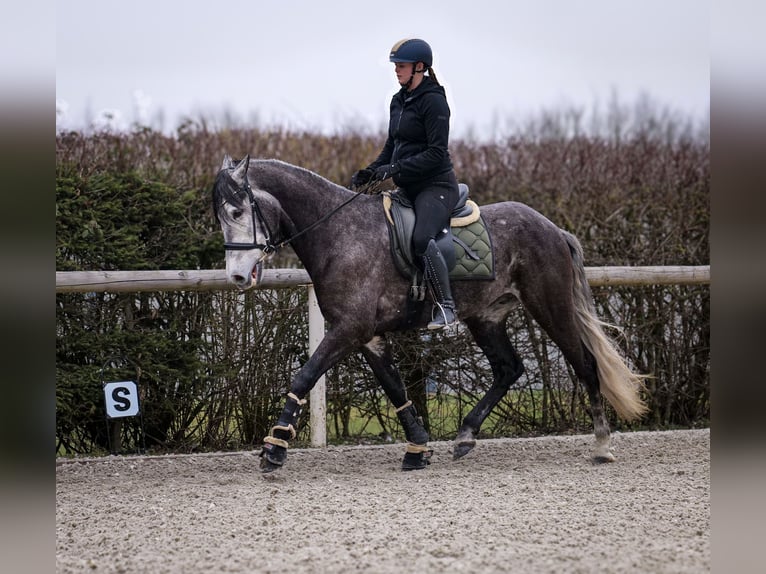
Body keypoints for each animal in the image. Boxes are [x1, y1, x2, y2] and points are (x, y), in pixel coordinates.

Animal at [214, 155, 648, 474]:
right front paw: (418, 448)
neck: (339, 233)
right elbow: (395, 388)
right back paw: (466, 435)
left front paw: (274, 446)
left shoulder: (348, 329)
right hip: (486, 318)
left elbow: (304, 375)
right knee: (508, 369)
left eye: (236, 211)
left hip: (550, 307)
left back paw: (602, 445)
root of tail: (553, 229)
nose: (237, 276)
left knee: (585, 365)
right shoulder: (367, 335)